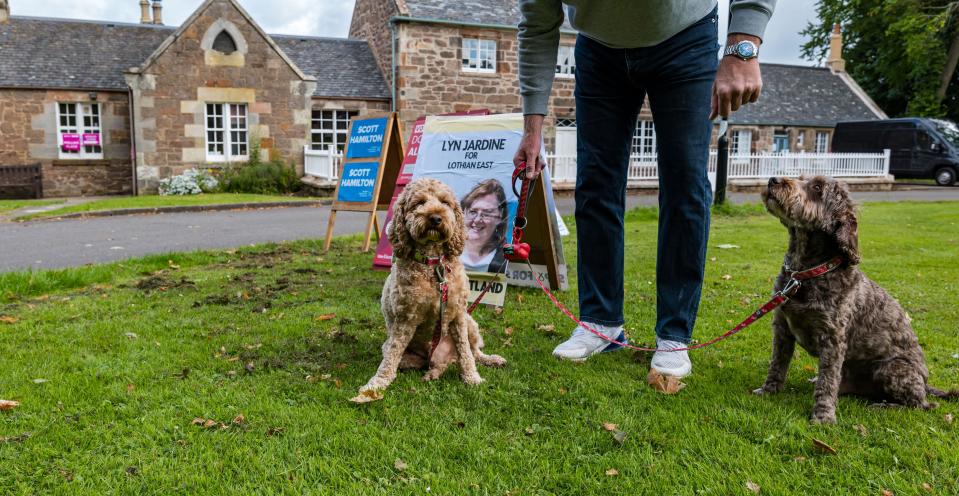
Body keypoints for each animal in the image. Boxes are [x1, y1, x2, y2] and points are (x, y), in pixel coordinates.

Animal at [358, 178, 510, 396]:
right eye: (419, 202)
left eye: (445, 202)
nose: (436, 217)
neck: (433, 264)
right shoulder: (405, 319)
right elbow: (391, 357)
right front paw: (377, 383)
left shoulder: (458, 314)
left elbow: (465, 352)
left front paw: (472, 377)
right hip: (406, 355)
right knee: (422, 361)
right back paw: (433, 373)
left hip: (470, 322)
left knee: (473, 352)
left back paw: (491, 359)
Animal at [756, 174, 952, 422]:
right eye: (801, 178)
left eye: (817, 187)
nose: (773, 179)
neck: (805, 274)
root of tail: (926, 384)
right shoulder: (782, 328)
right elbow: (777, 364)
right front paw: (768, 390)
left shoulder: (833, 340)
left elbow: (827, 381)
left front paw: (823, 415)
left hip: (891, 369)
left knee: (920, 404)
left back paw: (886, 406)